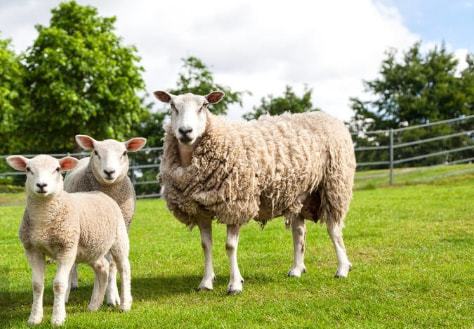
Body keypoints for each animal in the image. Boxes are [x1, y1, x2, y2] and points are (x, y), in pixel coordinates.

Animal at [7, 155, 132, 324]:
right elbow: (37, 285)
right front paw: (34, 318)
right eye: (28, 169)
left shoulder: (66, 248)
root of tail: (100, 193)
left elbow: (59, 284)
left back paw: (125, 305)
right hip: (91, 248)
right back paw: (94, 305)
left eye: (57, 169)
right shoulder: (32, 250)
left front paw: (58, 318)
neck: (43, 221)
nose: (41, 185)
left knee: (124, 268)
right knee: (102, 267)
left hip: (119, 237)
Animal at [154, 89, 354, 292]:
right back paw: (297, 269)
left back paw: (342, 268)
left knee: (333, 229)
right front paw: (206, 282)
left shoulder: (236, 204)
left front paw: (235, 284)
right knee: (299, 232)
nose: (185, 131)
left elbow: (230, 246)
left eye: (204, 105)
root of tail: (329, 117)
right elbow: (206, 245)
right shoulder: (200, 209)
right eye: (172, 105)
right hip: (298, 194)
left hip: (334, 184)